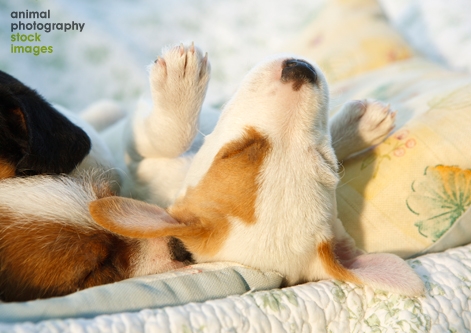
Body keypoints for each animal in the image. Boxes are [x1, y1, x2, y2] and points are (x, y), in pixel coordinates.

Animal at [0, 42, 426, 300]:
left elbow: (170, 136)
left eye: (324, 163)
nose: (300, 69)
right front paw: (358, 127)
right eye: (238, 150)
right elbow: (173, 134)